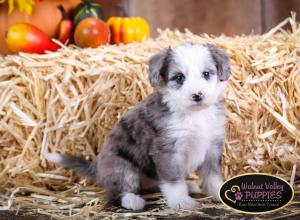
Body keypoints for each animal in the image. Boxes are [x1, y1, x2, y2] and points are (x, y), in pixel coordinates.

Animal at [45, 42, 231, 211]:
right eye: (179, 78)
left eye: (206, 74)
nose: (197, 95)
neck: (194, 114)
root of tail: (97, 167)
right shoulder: (168, 151)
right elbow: (173, 181)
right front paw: (181, 201)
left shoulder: (211, 148)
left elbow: (213, 176)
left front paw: (218, 193)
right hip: (122, 168)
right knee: (116, 193)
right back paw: (131, 200)